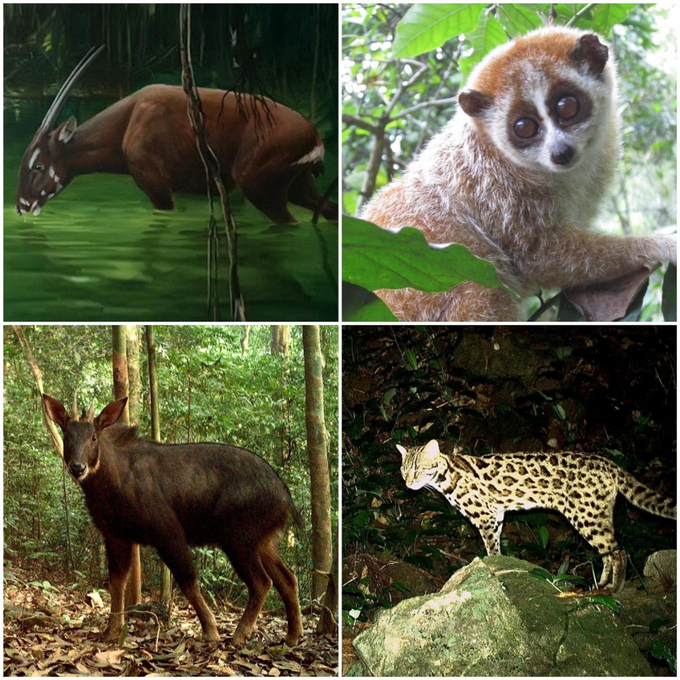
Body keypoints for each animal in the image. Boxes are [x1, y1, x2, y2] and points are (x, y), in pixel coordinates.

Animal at [19, 48, 338, 223]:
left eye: (38, 165)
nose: (22, 206)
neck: (128, 120)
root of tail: (314, 136)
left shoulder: (157, 186)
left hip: (260, 186)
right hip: (299, 186)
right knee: (329, 210)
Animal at [43, 390, 304, 644]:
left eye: (94, 437)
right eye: (67, 435)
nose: (78, 467)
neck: (113, 483)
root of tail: (286, 499)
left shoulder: (167, 530)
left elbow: (187, 579)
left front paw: (211, 631)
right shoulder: (117, 536)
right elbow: (116, 583)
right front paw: (110, 631)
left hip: (239, 537)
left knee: (262, 582)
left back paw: (240, 634)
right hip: (262, 541)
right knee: (288, 578)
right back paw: (292, 636)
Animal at [398, 440, 676, 588]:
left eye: (418, 469)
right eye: (403, 470)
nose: (408, 483)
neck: (446, 475)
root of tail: (607, 462)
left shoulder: (486, 516)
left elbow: (492, 549)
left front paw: (493, 568)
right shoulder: (497, 514)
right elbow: (497, 544)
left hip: (585, 514)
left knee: (618, 551)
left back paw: (613, 589)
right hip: (599, 513)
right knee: (609, 552)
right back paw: (601, 585)